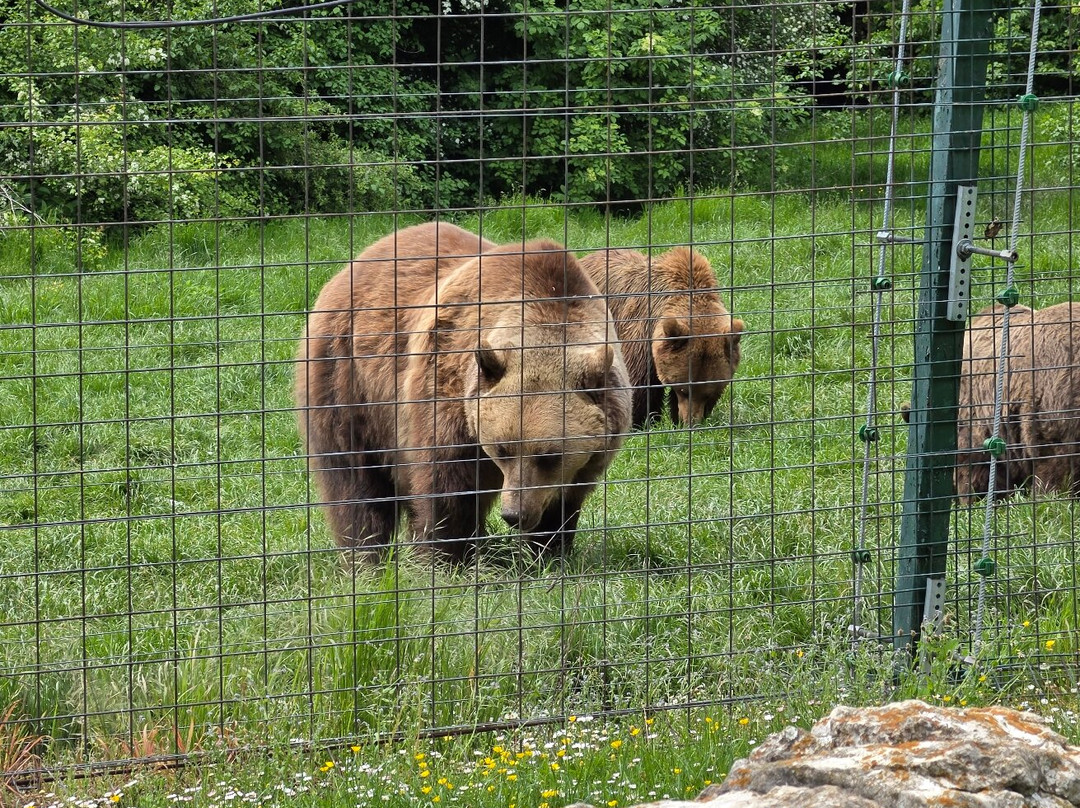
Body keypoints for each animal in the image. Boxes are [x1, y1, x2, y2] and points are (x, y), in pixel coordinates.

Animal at [295, 221, 632, 564]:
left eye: (549, 455)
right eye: (503, 449)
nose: (514, 515)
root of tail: (358, 261)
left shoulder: (588, 453)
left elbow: (563, 499)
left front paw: (549, 549)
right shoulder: (448, 390)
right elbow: (447, 485)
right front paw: (445, 557)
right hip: (349, 379)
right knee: (356, 482)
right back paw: (365, 556)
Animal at [578, 247, 744, 429]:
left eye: (708, 393)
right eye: (683, 389)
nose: (690, 422)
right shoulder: (641, 333)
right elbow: (640, 384)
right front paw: (641, 422)